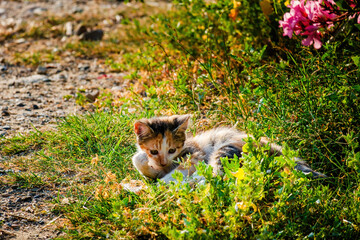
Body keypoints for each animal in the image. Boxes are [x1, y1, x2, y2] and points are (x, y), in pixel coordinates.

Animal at [132, 114, 326, 182]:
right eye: (154, 151)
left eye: (172, 150)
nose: (163, 162)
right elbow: (138, 158)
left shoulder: (195, 154)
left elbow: (176, 173)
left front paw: (159, 187)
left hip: (226, 149)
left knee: (218, 176)